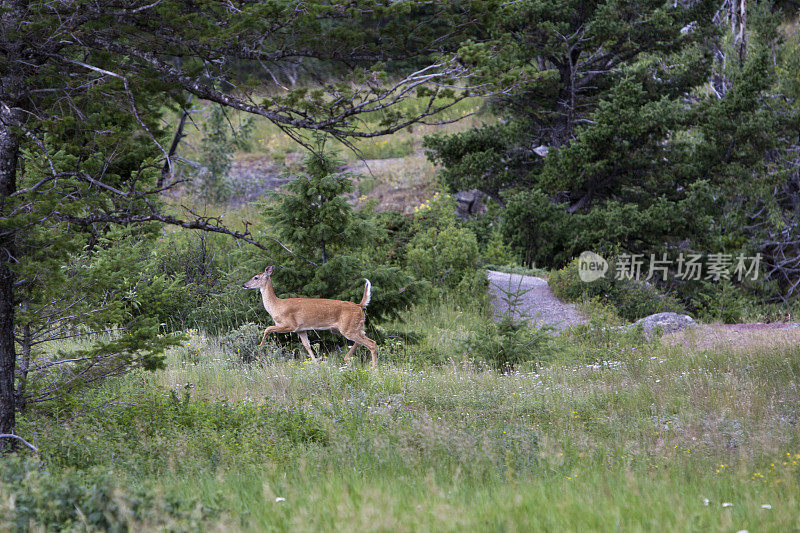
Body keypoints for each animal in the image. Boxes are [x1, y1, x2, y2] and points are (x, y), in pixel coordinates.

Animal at [241, 264, 378, 366]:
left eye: (256, 277)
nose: (244, 285)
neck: (275, 305)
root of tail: (359, 305)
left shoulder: (290, 324)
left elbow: (267, 329)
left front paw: (259, 349)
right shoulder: (301, 329)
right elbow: (307, 346)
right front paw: (316, 364)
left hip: (348, 327)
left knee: (372, 343)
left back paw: (374, 369)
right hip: (349, 327)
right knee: (365, 335)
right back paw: (347, 359)